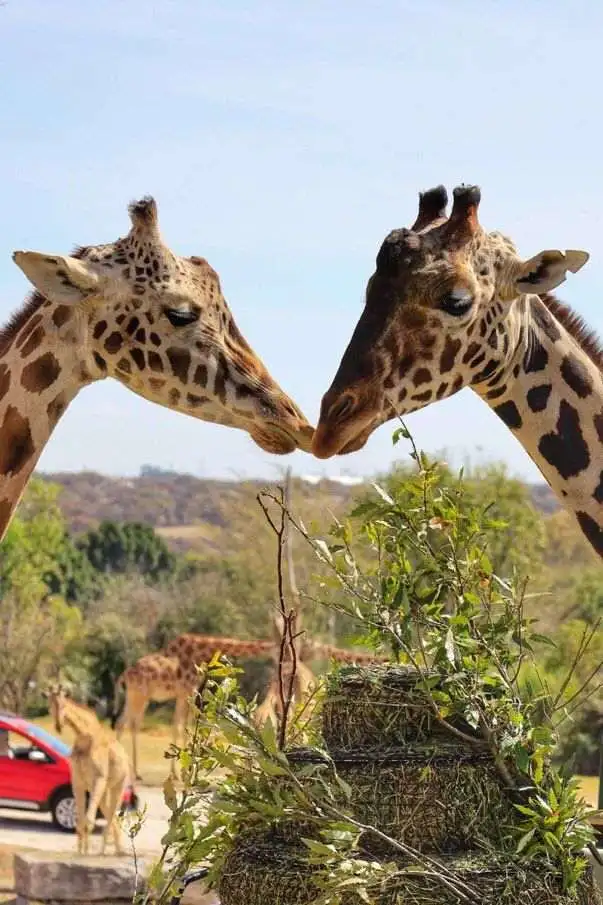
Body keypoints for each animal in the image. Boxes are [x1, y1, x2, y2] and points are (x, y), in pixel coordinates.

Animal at [47, 684, 130, 856]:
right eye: (50, 706)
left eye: (63, 704)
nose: (58, 726)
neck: (83, 736)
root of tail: (126, 757)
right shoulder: (77, 781)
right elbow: (80, 820)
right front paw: (81, 853)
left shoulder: (98, 778)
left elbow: (89, 820)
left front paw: (86, 854)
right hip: (102, 790)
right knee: (111, 817)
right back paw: (117, 850)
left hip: (118, 786)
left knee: (112, 815)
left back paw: (106, 851)